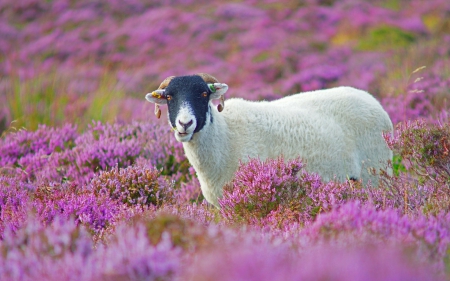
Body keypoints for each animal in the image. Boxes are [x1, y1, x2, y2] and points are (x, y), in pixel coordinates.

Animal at [146, 73, 392, 207]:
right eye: (169, 97)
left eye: (204, 94)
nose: (185, 124)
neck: (225, 134)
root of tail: (372, 100)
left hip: (375, 173)